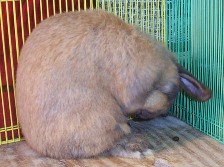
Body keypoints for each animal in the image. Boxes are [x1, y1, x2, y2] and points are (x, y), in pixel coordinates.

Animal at [15, 9, 212, 160]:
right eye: (171, 93)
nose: (143, 116)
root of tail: (38, 146)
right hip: (105, 120)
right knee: (110, 145)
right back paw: (138, 147)